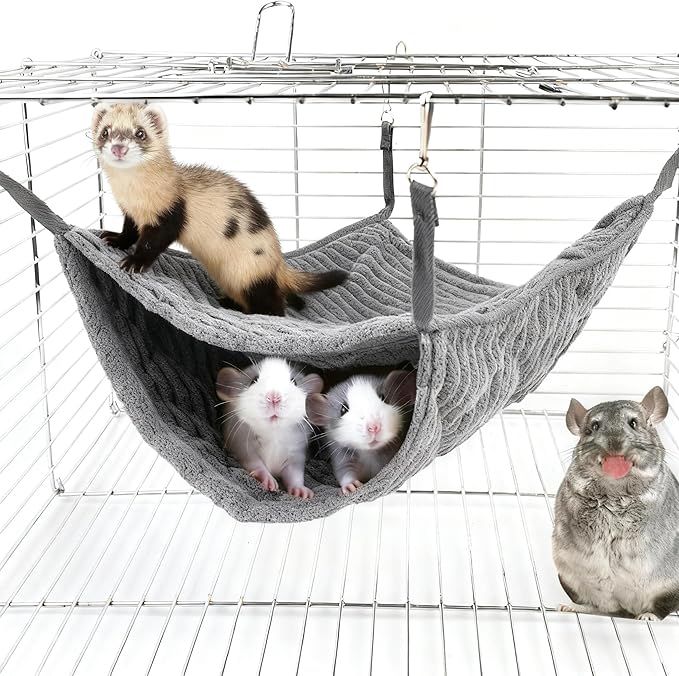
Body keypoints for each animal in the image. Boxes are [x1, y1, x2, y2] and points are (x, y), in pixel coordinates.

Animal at [216, 358, 323, 499]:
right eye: (253, 380)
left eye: (294, 381)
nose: (274, 397)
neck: (273, 434)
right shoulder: (242, 444)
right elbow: (253, 461)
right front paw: (266, 477)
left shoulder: (296, 452)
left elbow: (294, 472)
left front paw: (299, 489)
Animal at [553, 386, 679, 620]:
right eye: (594, 426)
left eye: (633, 423)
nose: (614, 442)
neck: (614, 491)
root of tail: (628, 610)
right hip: (570, 578)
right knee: (603, 608)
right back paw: (571, 607)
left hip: (669, 585)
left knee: (661, 607)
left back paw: (647, 616)